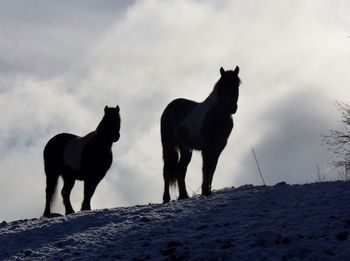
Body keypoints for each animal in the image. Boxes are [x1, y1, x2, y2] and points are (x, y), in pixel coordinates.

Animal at [161, 66, 241, 202]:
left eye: (237, 84)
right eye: (222, 86)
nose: (231, 108)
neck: (217, 114)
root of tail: (169, 107)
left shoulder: (219, 147)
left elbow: (212, 169)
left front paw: (208, 191)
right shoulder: (206, 147)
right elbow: (205, 168)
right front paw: (205, 191)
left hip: (185, 148)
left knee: (180, 170)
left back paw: (183, 196)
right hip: (168, 145)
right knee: (167, 171)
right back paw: (166, 198)